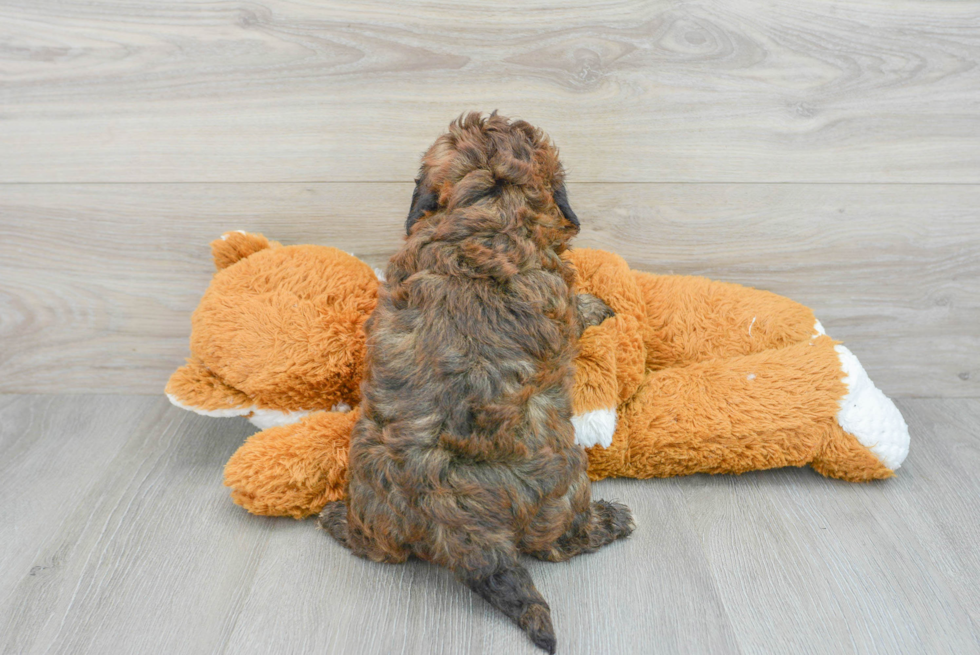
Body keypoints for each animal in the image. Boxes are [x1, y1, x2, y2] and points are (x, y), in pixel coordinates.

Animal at [318, 111, 632, 652]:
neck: (489, 201)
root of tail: (453, 521)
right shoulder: (560, 294)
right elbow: (577, 309)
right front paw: (596, 306)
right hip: (565, 488)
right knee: (560, 542)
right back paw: (612, 521)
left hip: (376, 499)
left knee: (377, 547)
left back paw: (335, 519)